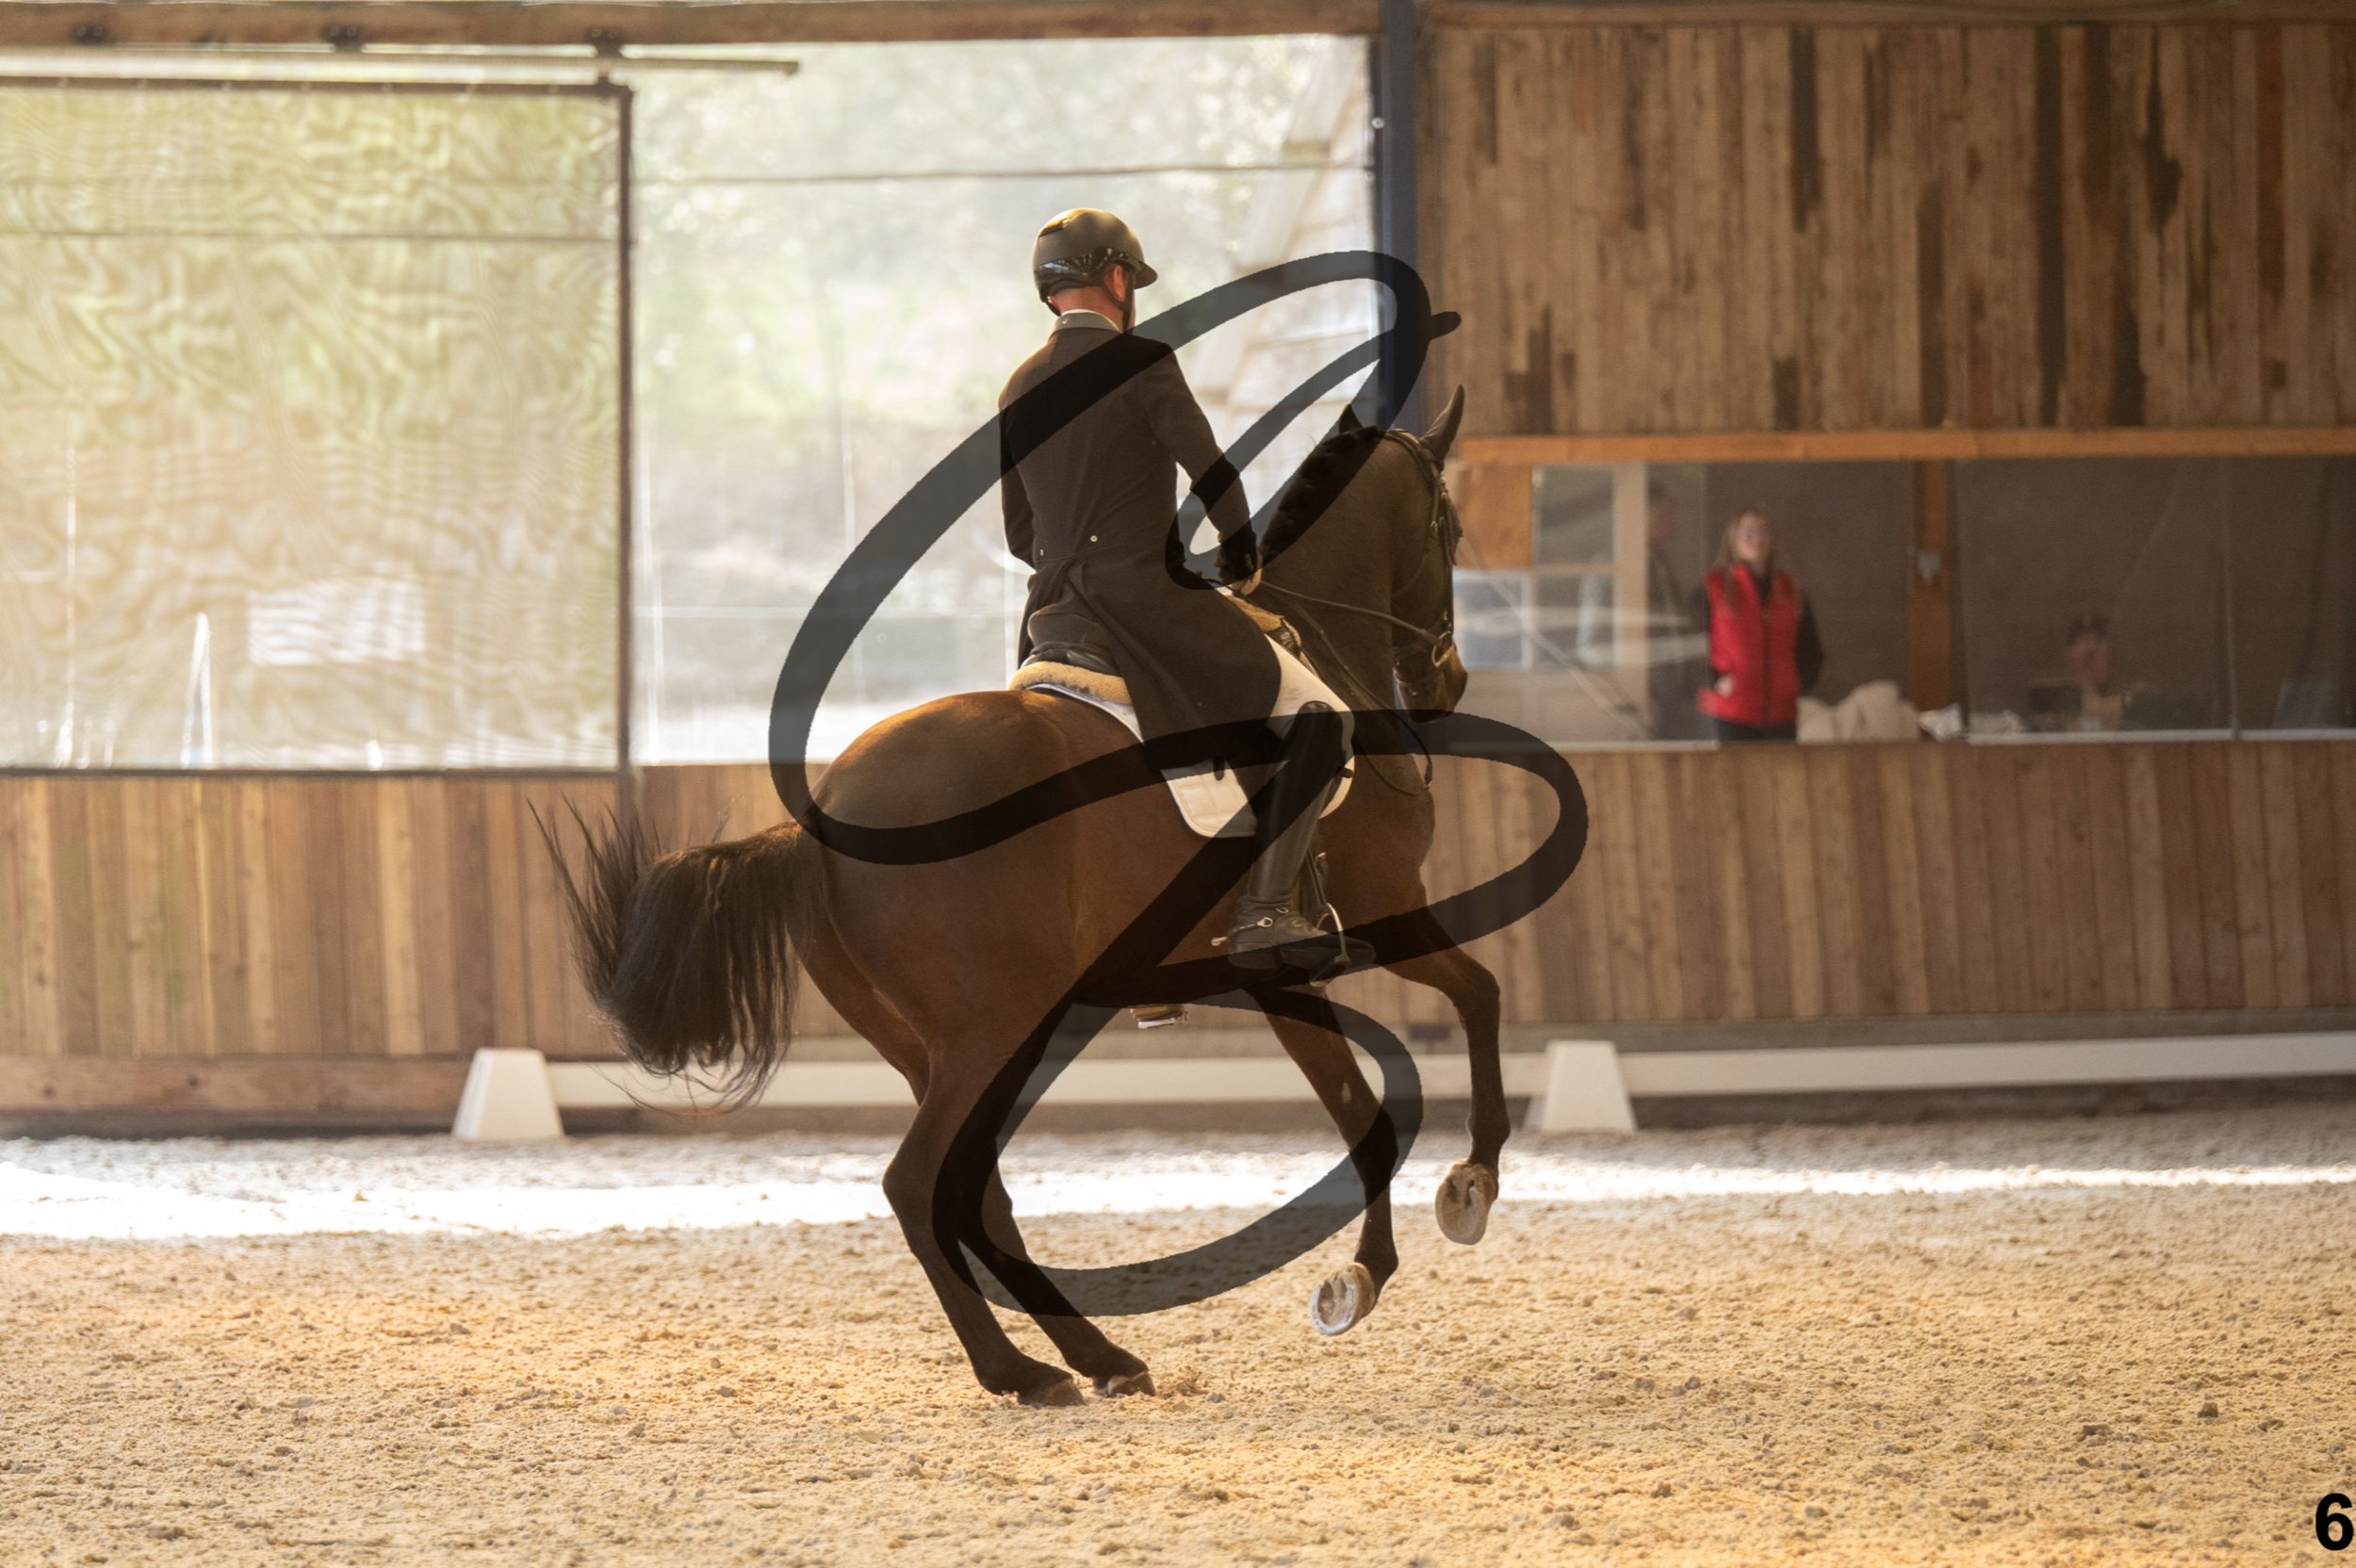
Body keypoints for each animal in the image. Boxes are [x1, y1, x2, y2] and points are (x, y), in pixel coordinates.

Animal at [550, 388, 1552, 1407]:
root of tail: (820, 824)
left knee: (974, 1189)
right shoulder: (1388, 907)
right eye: (1450, 527)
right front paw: (1455, 1198)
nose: (1448, 677)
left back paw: (1093, 1357)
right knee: (921, 1183)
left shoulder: (1277, 974)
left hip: (941, 1042)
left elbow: (1362, 1109)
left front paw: (1367, 1266)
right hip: (994, 1027)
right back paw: (1024, 1368)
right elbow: (1473, 1003)